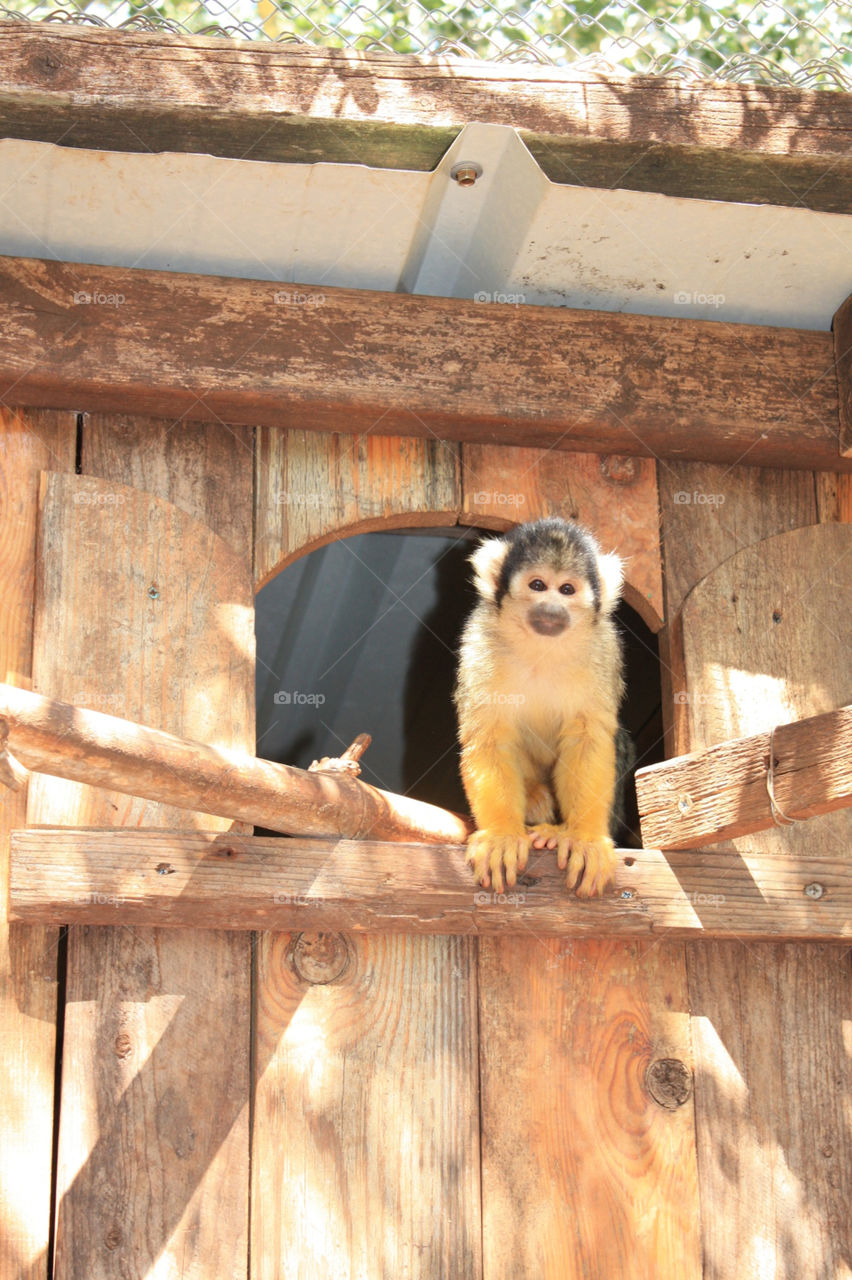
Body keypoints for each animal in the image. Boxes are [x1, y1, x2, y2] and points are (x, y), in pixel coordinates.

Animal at [450, 514, 624, 896]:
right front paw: (501, 835)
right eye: (538, 585)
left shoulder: (604, 647)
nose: (552, 609)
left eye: (567, 590)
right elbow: (489, 736)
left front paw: (585, 838)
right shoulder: (479, 641)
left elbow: (588, 737)